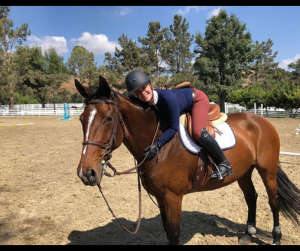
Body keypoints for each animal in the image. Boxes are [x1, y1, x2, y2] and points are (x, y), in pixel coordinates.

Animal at [74, 75, 300, 244]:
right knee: (251, 197)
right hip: (243, 171)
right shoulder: (161, 198)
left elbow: (174, 234)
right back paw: (247, 234)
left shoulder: (173, 198)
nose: (86, 173)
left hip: (267, 170)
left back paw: (276, 238)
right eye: (81, 119)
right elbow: (167, 231)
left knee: (273, 201)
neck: (160, 145)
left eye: (108, 118)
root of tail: (261, 120)